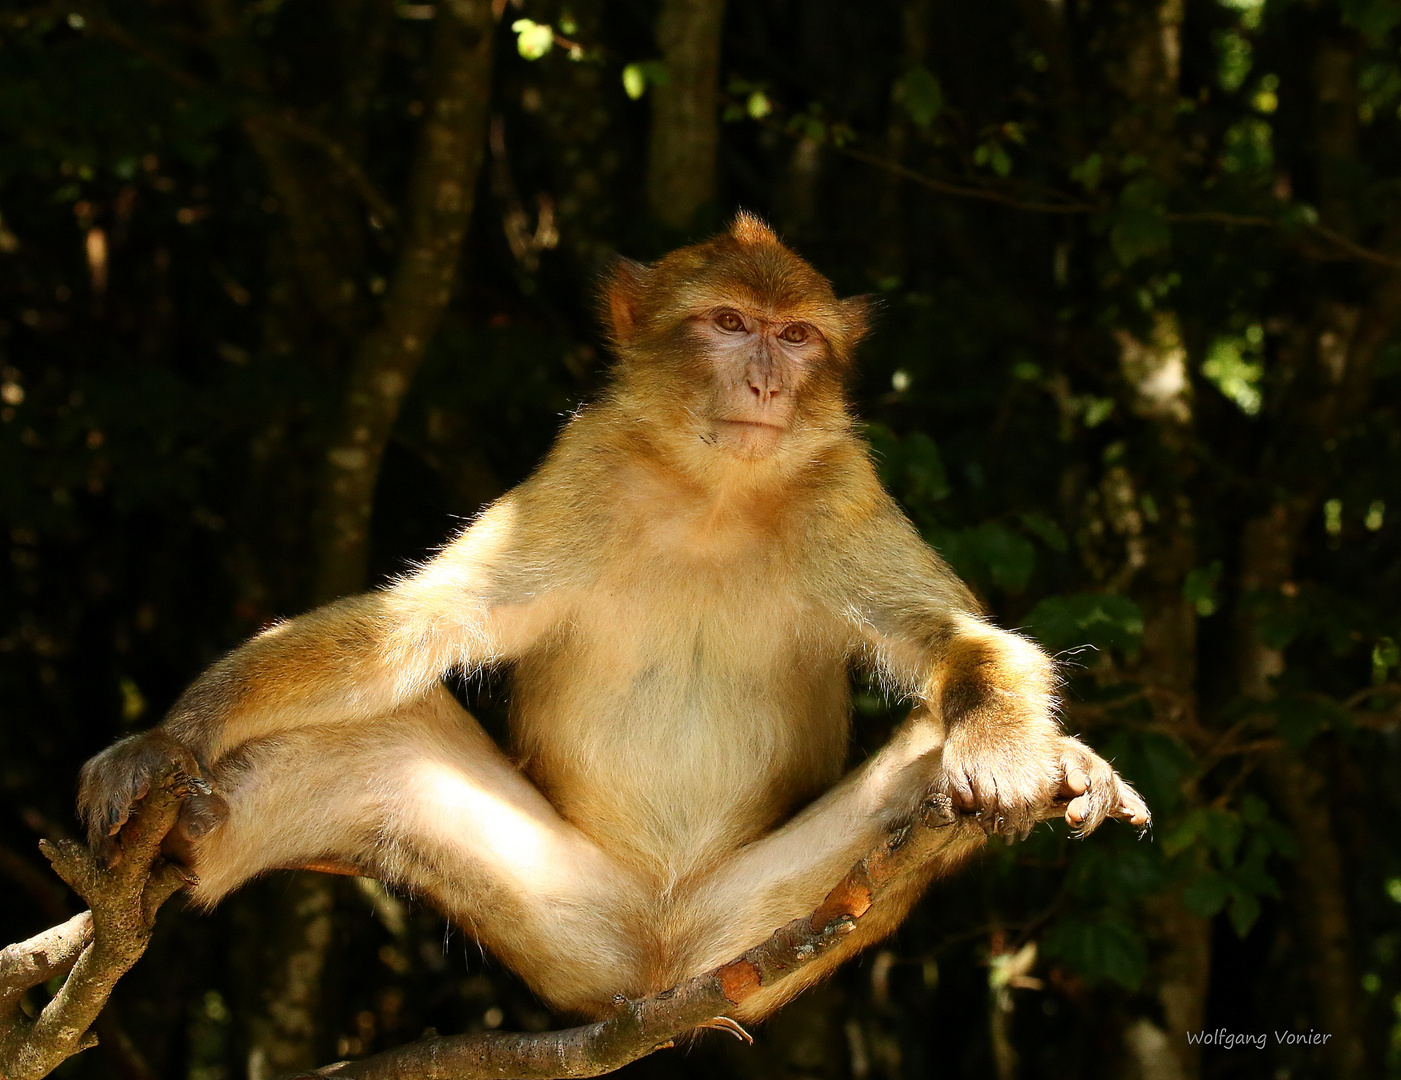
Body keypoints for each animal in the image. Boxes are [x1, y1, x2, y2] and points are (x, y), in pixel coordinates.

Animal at [79, 212, 1148, 1030]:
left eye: (797, 336)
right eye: (729, 323)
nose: (767, 382)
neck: (714, 494)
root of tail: (655, 966)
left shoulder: (844, 490)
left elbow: (960, 643)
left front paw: (1010, 750)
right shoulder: (582, 470)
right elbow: (409, 629)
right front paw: (170, 737)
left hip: (768, 921)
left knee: (932, 738)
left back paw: (1057, 766)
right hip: (554, 909)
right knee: (387, 736)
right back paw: (194, 831)